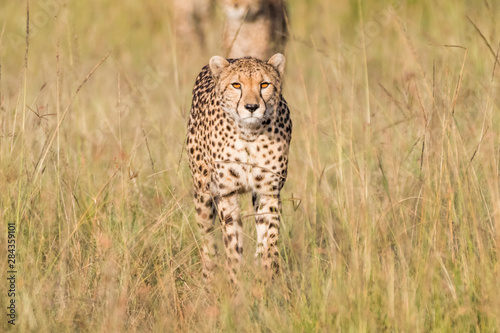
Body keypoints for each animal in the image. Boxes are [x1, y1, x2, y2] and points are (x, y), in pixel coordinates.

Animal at [186, 54, 292, 282]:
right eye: (236, 85)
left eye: (264, 84)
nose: (251, 107)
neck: (249, 133)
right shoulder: (227, 193)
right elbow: (232, 242)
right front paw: (235, 280)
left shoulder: (268, 191)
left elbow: (269, 237)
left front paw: (268, 276)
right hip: (202, 192)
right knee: (207, 240)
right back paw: (208, 276)